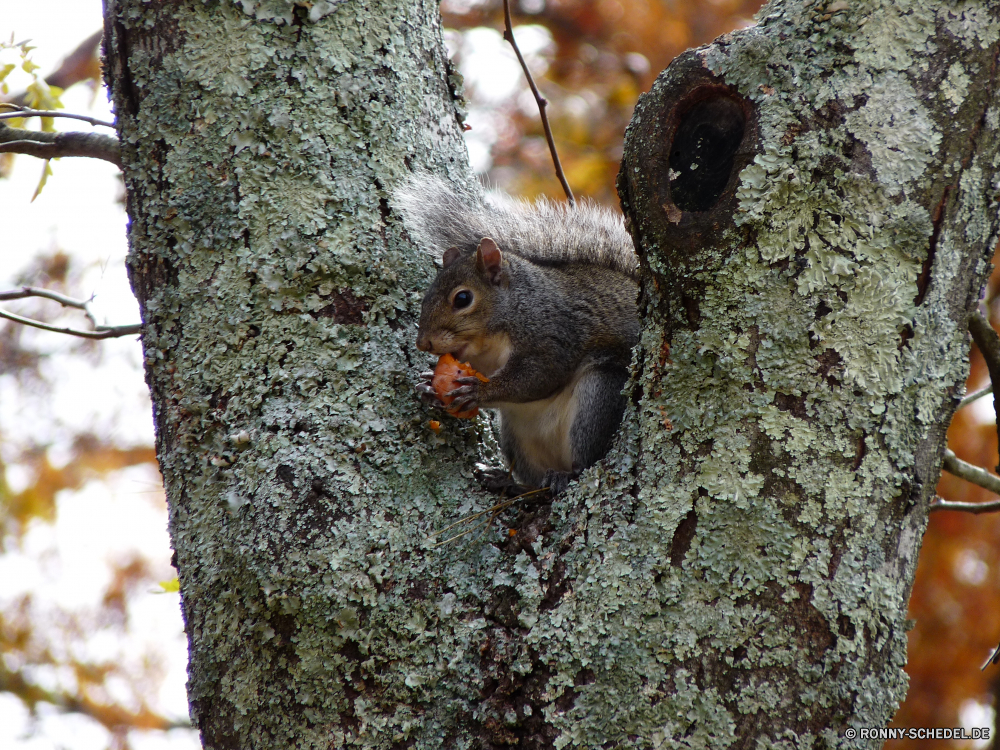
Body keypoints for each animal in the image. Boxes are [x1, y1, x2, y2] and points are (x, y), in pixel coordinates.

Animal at [394, 173, 636, 496]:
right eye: (425, 297)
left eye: (462, 299)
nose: (423, 343)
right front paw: (428, 386)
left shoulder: (552, 335)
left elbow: (537, 377)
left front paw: (478, 392)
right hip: (516, 436)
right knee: (532, 480)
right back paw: (505, 481)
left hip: (598, 397)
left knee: (585, 461)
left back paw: (564, 475)